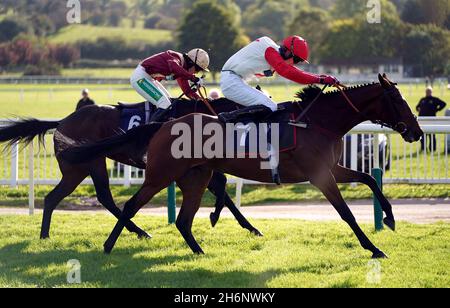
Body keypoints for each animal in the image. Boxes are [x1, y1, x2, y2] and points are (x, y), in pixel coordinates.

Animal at [0, 97, 264, 239]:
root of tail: (62, 121)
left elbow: (223, 188)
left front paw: (243, 225)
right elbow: (222, 189)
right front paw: (235, 222)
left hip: (79, 169)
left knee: (55, 197)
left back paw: (45, 235)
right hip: (90, 164)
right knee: (102, 197)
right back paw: (139, 231)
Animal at [61, 74, 424, 258]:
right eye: (398, 100)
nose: (417, 131)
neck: (320, 121)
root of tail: (163, 123)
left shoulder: (331, 169)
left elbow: (369, 179)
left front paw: (390, 219)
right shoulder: (319, 175)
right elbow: (346, 213)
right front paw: (374, 248)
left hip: (196, 175)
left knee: (183, 220)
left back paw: (199, 251)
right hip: (161, 174)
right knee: (130, 206)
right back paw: (110, 245)